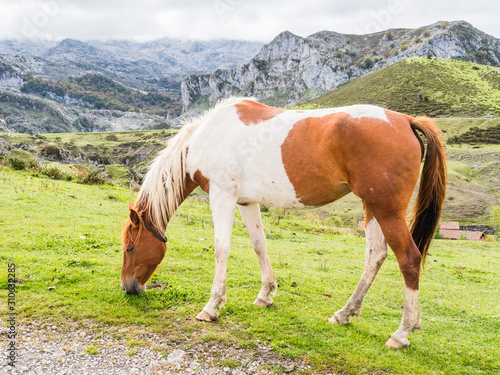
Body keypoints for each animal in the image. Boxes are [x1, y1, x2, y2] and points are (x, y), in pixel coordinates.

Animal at [120, 97, 446, 350]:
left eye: (130, 247)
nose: (128, 287)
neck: (208, 137)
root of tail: (405, 120)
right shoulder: (246, 202)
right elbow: (259, 245)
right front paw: (265, 294)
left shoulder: (222, 196)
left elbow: (221, 249)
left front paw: (212, 307)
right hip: (373, 207)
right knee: (375, 256)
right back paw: (344, 313)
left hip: (387, 210)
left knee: (409, 259)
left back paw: (401, 333)